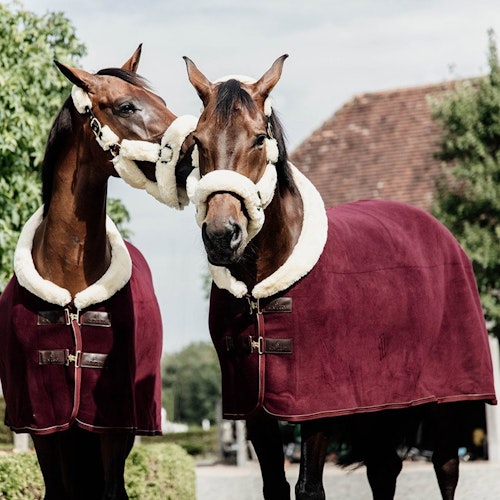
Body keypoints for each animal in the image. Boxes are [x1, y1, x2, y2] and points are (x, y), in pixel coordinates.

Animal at [0, 45, 197, 498]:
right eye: (126, 106)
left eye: (160, 99)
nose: (194, 151)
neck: (70, 279)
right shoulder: (44, 426)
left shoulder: (113, 426)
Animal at [183, 55, 496, 500]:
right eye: (197, 140)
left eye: (259, 139)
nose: (221, 235)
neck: (261, 288)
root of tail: (443, 235)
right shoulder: (256, 407)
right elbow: (275, 484)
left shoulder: (318, 405)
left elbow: (309, 487)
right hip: (381, 401)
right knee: (384, 468)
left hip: (447, 397)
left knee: (446, 465)